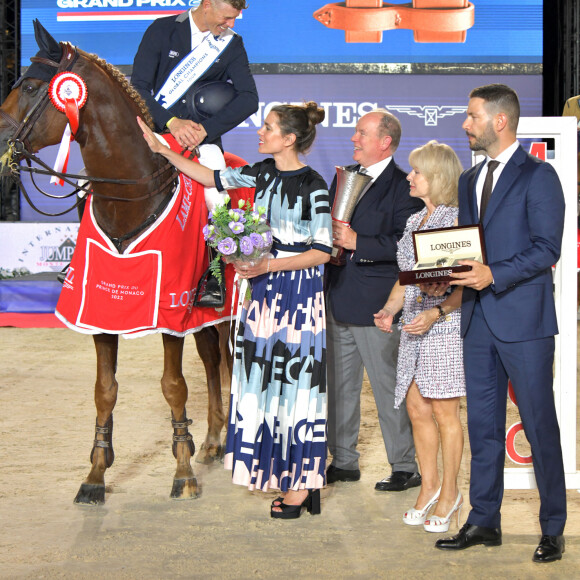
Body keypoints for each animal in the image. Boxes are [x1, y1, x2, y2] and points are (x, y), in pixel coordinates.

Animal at [0, 21, 244, 502]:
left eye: (31, 87)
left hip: (221, 307)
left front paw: (182, 472)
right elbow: (105, 390)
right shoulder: (97, 309)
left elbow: (173, 387)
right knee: (211, 359)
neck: (130, 197)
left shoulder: (169, 310)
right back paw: (211, 440)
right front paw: (96, 474)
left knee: (222, 360)